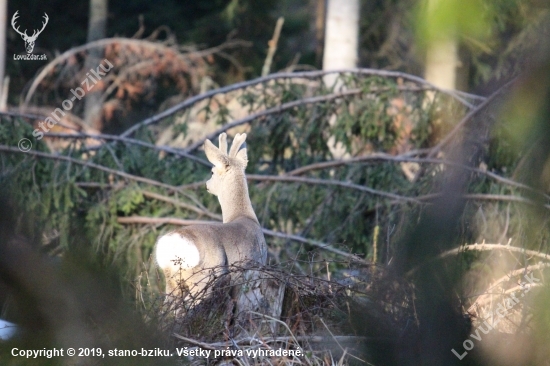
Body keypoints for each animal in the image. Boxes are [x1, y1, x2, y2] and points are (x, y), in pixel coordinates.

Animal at [155, 133, 268, 304]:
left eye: (213, 171)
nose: (207, 184)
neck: (245, 216)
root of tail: (174, 244)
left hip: (173, 282)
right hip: (204, 277)